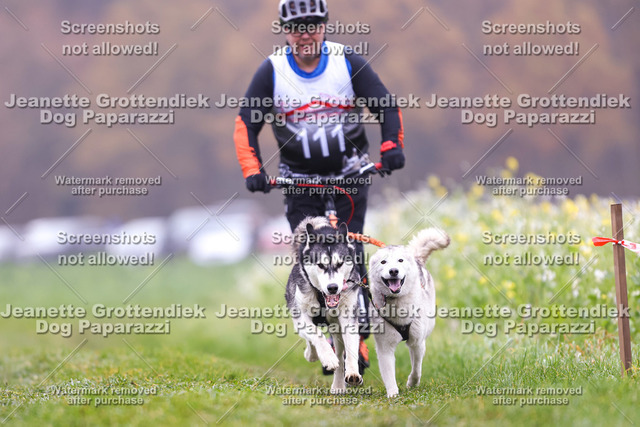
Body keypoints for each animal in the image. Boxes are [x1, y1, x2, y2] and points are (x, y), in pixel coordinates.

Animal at [285, 217, 363, 391]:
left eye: (340, 264)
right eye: (320, 265)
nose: (332, 287)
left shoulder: (348, 318)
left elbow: (350, 349)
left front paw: (353, 372)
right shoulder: (301, 317)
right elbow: (317, 335)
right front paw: (327, 357)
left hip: (337, 329)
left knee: (340, 354)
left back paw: (339, 385)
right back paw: (312, 354)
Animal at [368, 228, 450, 397]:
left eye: (400, 260)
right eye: (383, 262)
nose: (393, 271)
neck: (397, 304)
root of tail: (416, 258)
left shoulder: (417, 343)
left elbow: (416, 368)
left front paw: (412, 383)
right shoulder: (384, 348)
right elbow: (389, 375)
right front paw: (393, 394)